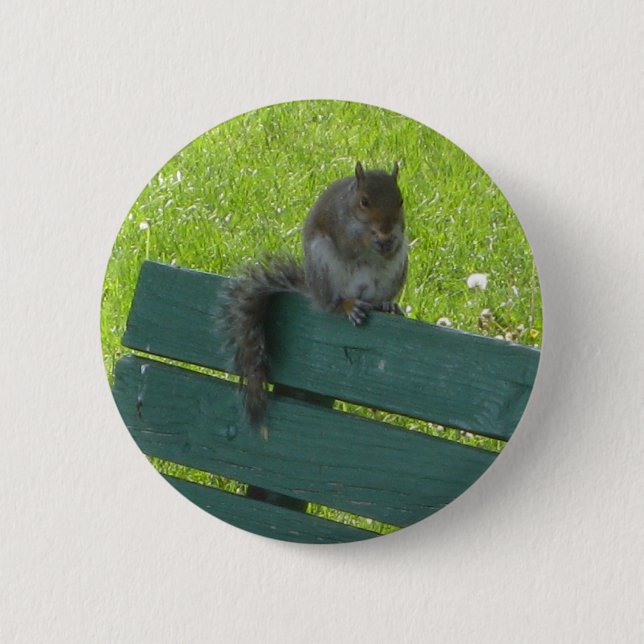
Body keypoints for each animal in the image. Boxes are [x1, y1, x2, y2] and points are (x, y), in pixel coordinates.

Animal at [221, 161, 408, 425]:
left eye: (400, 200)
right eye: (364, 201)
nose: (386, 227)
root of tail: (314, 290)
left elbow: (395, 243)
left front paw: (391, 241)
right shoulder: (339, 226)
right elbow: (350, 246)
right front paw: (369, 241)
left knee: (376, 298)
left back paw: (385, 305)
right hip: (324, 266)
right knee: (331, 304)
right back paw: (348, 306)